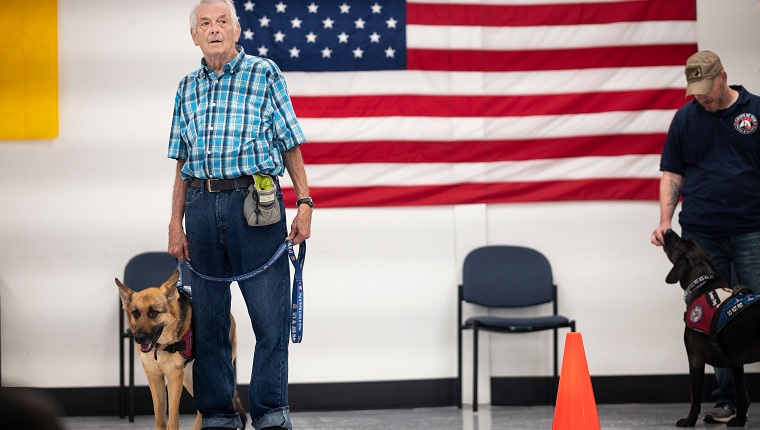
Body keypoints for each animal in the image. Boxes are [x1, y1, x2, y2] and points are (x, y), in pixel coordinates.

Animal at [664, 230, 760, 424]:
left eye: (679, 242)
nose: (668, 231)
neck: (701, 284)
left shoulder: (695, 358)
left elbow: (695, 396)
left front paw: (689, 421)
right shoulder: (735, 363)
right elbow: (739, 394)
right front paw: (739, 421)